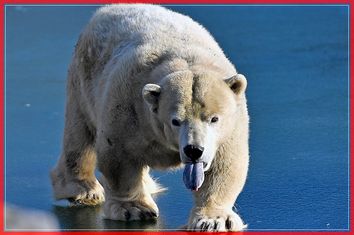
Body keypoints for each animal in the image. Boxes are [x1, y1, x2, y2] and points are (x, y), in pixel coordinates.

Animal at [50, 4, 249, 232]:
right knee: (80, 133)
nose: (194, 150)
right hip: (83, 80)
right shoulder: (128, 106)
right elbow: (119, 156)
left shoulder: (231, 125)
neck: (184, 61)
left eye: (214, 119)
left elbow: (224, 165)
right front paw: (134, 209)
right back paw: (83, 191)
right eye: (175, 120)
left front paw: (214, 220)